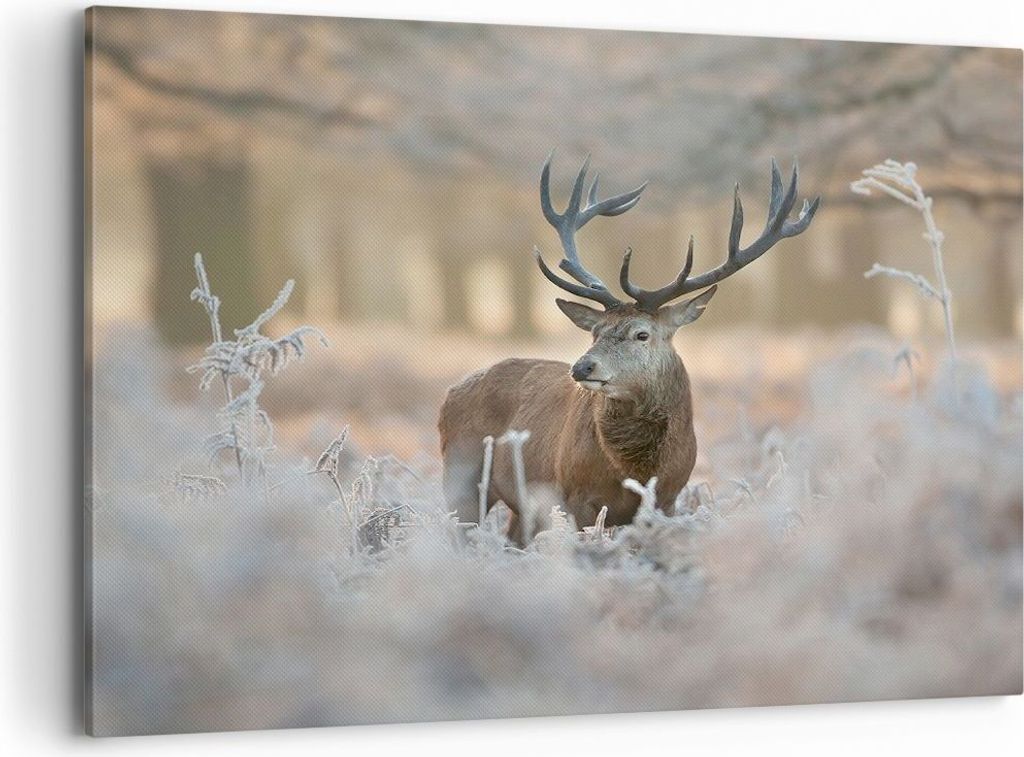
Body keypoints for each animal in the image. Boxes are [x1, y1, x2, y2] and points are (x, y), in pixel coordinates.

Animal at [438, 154, 819, 545]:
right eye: (595, 332)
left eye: (642, 334)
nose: (582, 367)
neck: (634, 469)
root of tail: (451, 392)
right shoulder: (574, 497)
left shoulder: (667, 499)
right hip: (461, 474)